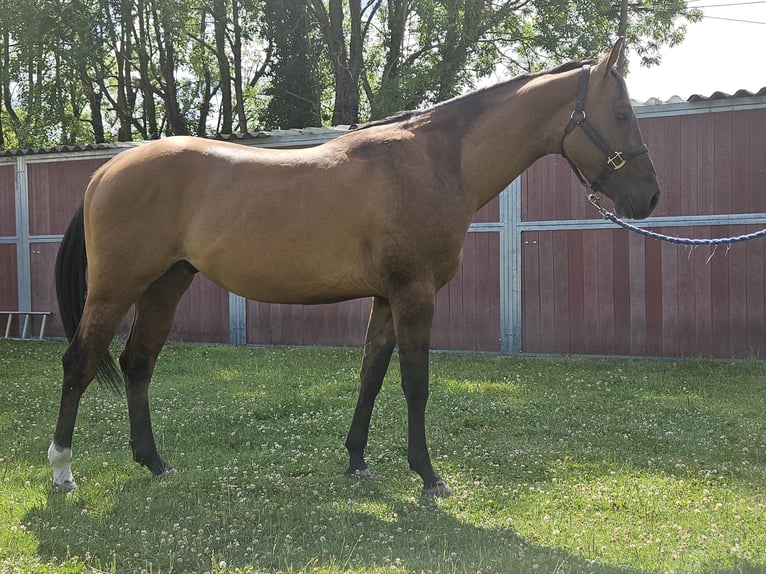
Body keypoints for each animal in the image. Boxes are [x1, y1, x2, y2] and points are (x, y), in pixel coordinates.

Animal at [49, 38, 659, 496]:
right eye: (621, 113)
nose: (649, 198)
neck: (431, 162)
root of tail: (107, 170)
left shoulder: (387, 297)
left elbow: (371, 374)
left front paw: (357, 460)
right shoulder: (414, 294)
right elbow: (415, 382)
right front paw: (428, 475)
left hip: (164, 285)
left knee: (137, 364)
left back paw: (155, 463)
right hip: (114, 290)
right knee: (80, 362)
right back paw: (62, 470)